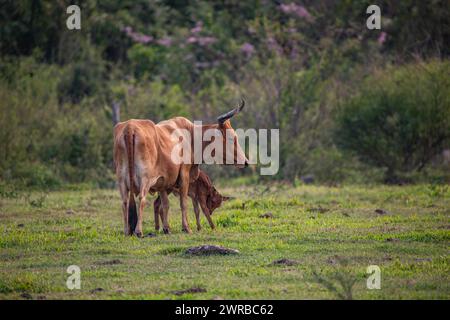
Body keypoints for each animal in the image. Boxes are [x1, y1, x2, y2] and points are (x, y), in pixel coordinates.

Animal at [111, 99, 246, 236]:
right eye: (231, 138)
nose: (245, 162)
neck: (190, 136)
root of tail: (129, 128)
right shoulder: (184, 176)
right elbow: (183, 203)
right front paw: (186, 227)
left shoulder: (163, 182)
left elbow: (165, 204)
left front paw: (166, 228)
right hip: (145, 179)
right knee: (142, 199)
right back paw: (138, 231)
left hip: (122, 181)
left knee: (125, 202)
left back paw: (127, 230)